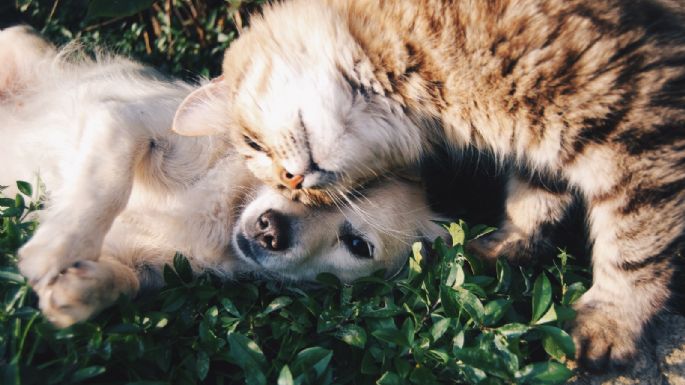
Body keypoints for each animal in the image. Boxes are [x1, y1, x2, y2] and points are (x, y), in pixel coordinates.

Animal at [0, 26, 444, 328]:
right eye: (291, 178)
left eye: (357, 245)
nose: (270, 230)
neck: (224, 212)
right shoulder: (123, 120)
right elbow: (105, 185)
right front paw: (56, 248)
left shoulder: (151, 265)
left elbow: (126, 281)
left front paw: (79, 290)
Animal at [171, 0, 684, 370]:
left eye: (254, 144)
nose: (294, 181)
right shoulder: (546, 143)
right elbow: (533, 203)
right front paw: (502, 248)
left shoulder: (637, 126)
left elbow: (635, 246)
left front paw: (611, 323)